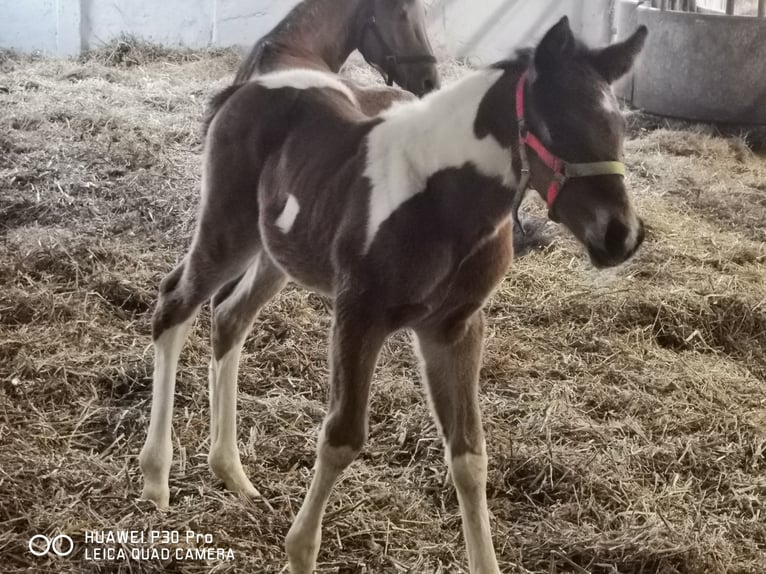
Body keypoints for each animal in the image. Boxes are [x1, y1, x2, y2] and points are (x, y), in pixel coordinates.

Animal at [141, 15, 652, 572]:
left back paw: (232, 473)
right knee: (174, 305)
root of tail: (250, 87)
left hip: (278, 251)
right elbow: (342, 438)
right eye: (556, 126)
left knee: (229, 318)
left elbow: (469, 454)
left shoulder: (453, 328)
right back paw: (155, 480)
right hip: (227, 231)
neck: (444, 203)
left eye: (620, 129)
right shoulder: (358, 314)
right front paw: (300, 550)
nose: (621, 236)